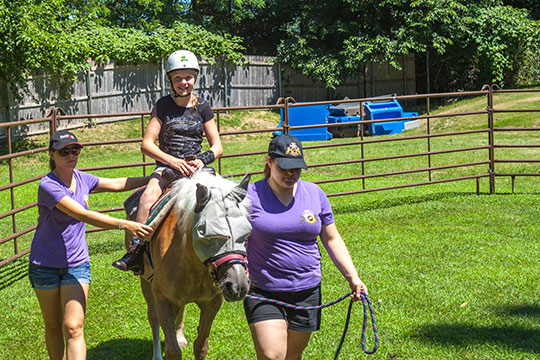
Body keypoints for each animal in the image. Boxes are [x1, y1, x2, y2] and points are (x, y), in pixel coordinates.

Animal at [130, 170, 252, 358]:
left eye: (246, 234)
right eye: (207, 236)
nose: (238, 286)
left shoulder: (212, 303)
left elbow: (201, 345)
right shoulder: (163, 300)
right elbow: (173, 351)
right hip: (145, 282)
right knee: (153, 318)